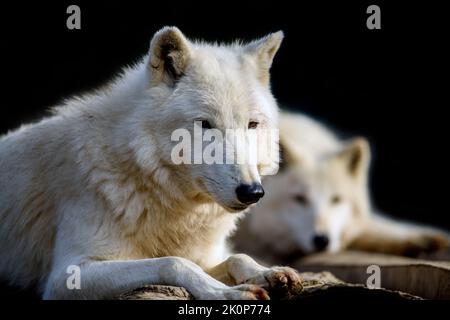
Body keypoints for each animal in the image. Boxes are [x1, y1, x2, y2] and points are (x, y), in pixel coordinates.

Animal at [0, 26, 304, 298]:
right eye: (205, 124)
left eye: (252, 125)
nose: (252, 191)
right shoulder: (68, 275)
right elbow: (174, 263)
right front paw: (224, 292)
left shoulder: (205, 256)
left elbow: (236, 257)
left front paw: (268, 272)